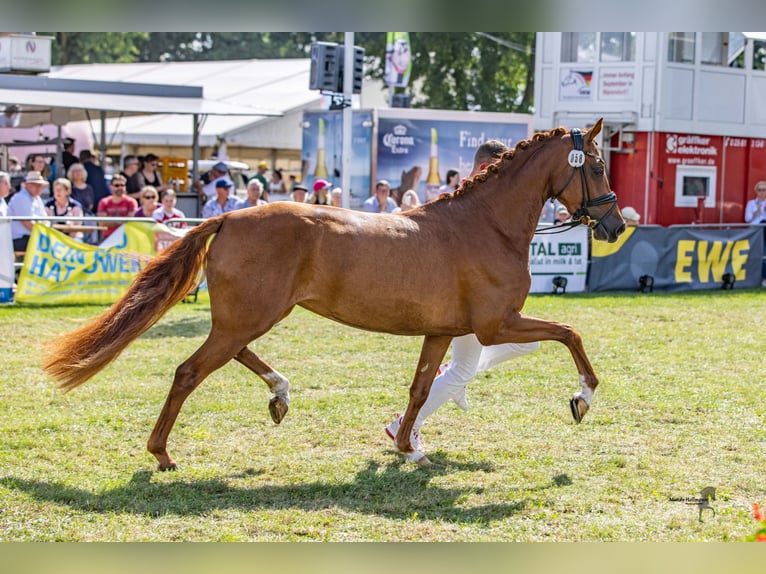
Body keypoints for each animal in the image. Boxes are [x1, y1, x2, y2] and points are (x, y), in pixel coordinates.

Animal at [43, 118, 624, 472]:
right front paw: (582, 398)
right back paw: (162, 454)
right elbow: (570, 332)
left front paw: (407, 447)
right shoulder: (496, 323)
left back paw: (279, 393)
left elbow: (420, 389)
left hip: (247, 316)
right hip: (249, 316)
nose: (615, 225)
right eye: (597, 166)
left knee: (233, 356)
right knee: (189, 372)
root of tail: (228, 216)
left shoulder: (443, 330)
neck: (484, 225)